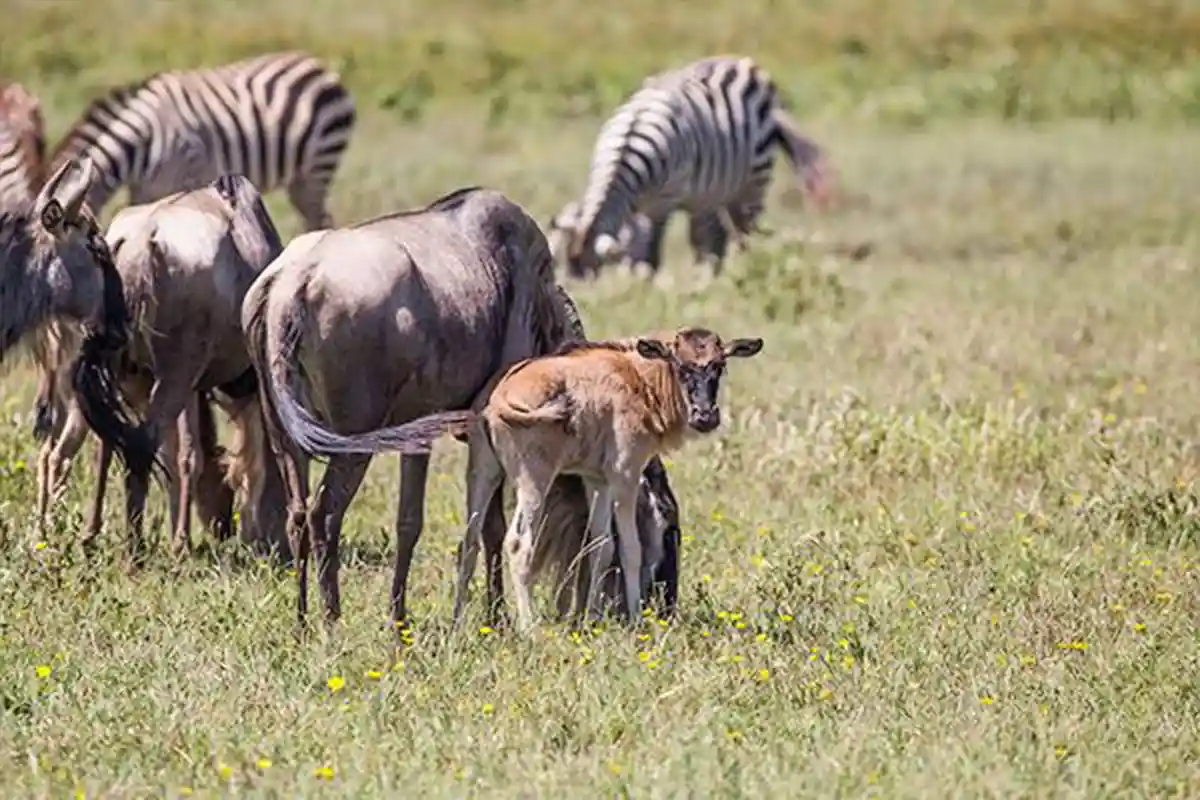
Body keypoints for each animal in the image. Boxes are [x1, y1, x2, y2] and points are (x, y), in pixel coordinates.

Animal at [46, 51, 357, 231]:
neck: (142, 140)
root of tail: (321, 67)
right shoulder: (144, 189)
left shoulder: (185, 178)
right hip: (300, 178)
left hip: (319, 165)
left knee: (319, 219)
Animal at [558, 54, 832, 280]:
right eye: (568, 270)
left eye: (590, 273)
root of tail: (743, 61)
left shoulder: (663, 203)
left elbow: (650, 256)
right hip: (713, 190)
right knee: (715, 238)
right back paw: (714, 277)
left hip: (753, 181)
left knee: (743, 233)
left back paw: (749, 268)